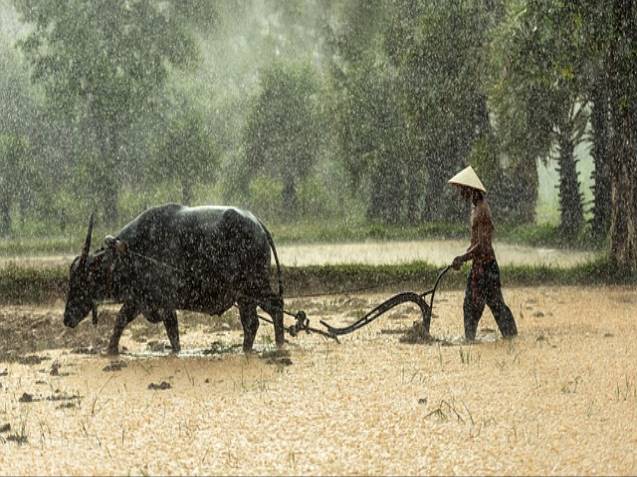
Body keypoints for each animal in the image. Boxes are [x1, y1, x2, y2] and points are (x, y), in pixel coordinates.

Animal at [64, 203, 284, 356]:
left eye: (82, 281)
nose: (67, 318)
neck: (132, 252)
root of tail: (257, 223)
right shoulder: (137, 300)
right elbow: (120, 321)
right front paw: (110, 351)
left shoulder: (166, 303)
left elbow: (172, 333)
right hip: (245, 296)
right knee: (253, 321)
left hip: (254, 285)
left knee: (272, 308)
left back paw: (275, 345)